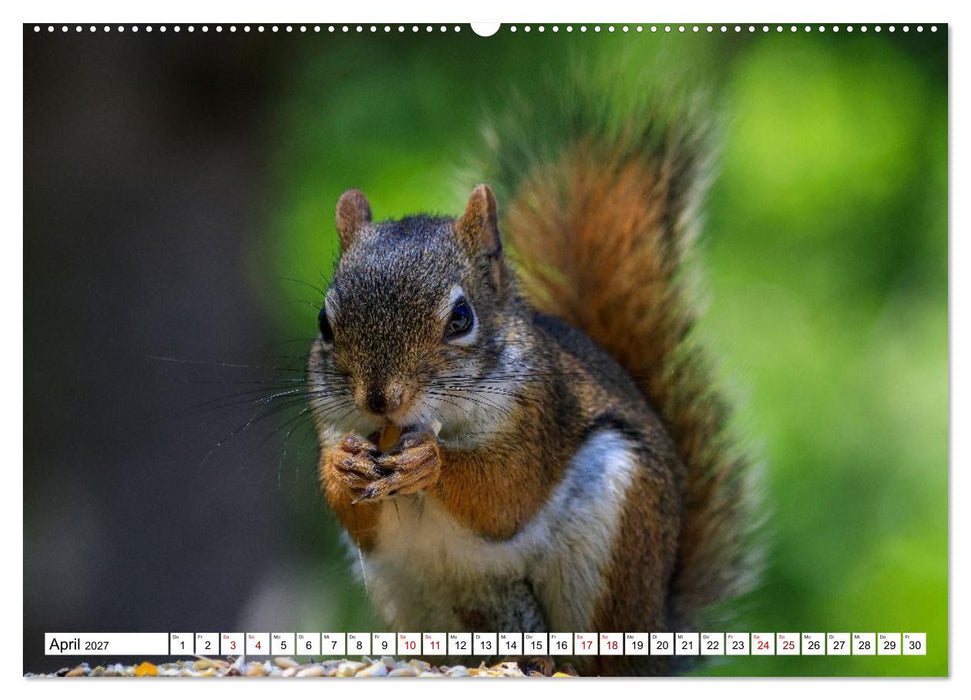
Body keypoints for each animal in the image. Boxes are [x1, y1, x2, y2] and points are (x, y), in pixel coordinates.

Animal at [308, 77, 755, 676]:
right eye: (324, 323)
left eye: (461, 318)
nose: (380, 400)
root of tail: (657, 628)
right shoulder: (336, 425)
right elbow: (359, 517)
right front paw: (344, 464)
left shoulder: (541, 410)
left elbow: (506, 496)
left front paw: (432, 462)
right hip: (410, 593)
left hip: (614, 542)